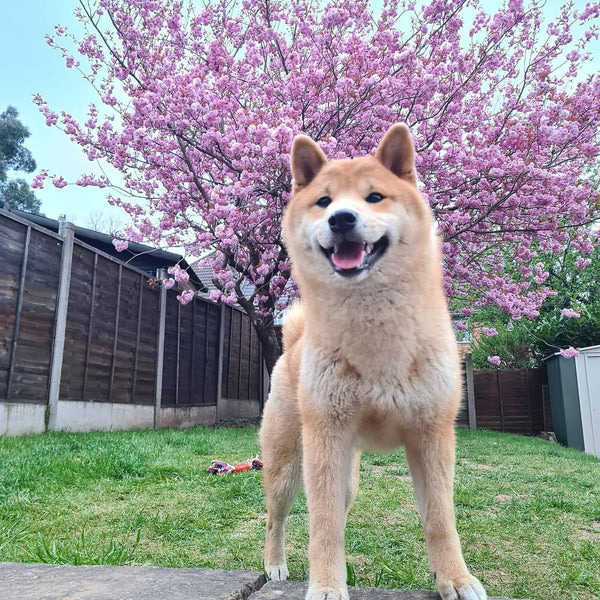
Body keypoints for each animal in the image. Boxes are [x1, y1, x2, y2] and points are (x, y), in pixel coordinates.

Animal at [260, 123, 486, 600]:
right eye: (323, 201)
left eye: (375, 197)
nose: (341, 218)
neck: (375, 335)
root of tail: (293, 344)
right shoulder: (326, 439)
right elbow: (324, 527)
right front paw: (327, 585)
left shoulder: (432, 437)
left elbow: (441, 520)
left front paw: (455, 578)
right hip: (289, 465)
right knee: (279, 518)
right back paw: (275, 564)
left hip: (345, 476)